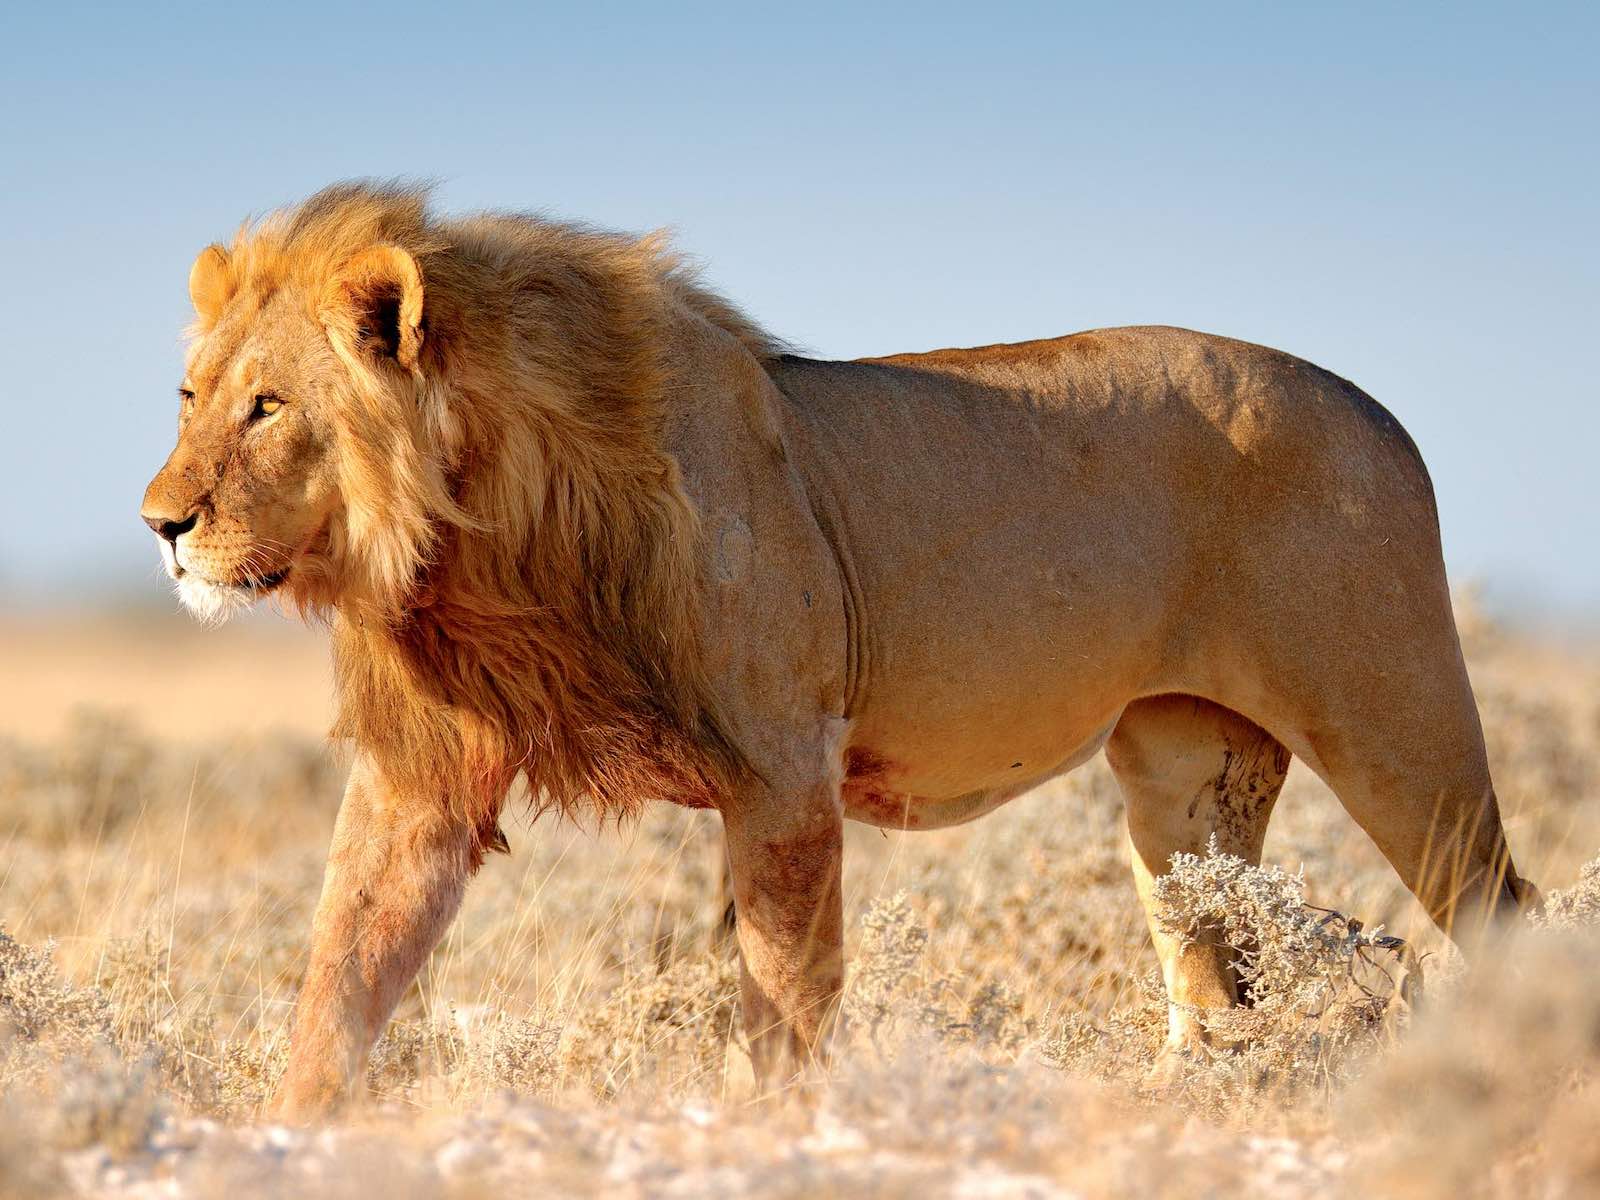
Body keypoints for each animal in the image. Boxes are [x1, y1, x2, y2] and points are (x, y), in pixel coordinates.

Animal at [140, 182, 1538, 1116]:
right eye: (192, 398)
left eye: (267, 408)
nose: (161, 525)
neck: (474, 544)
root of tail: (1380, 413)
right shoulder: (417, 777)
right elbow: (341, 971)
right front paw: (287, 1136)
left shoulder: (782, 772)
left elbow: (782, 993)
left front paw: (780, 1131)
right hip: (1183, 778)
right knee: (1208, 977)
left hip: (1397, 724)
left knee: (1503, 910)